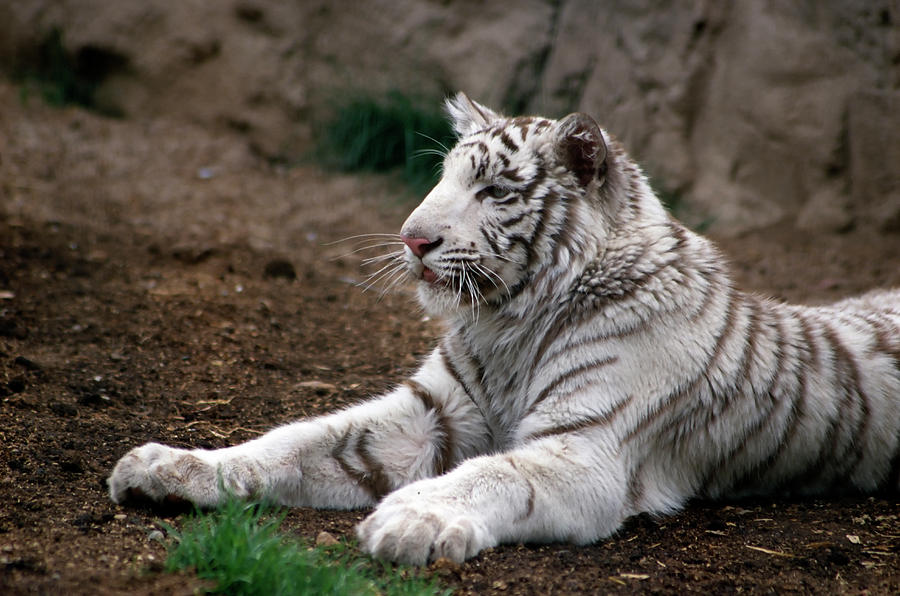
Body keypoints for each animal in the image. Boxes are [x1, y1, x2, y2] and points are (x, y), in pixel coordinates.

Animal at [107, 92, 900, 564]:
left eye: (491, 191)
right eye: (443, 178)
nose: (411, 239)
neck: (511, 321)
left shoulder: (583, 449)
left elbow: (491, 473)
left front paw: (410, 521)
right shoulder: (430, 412)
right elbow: (294, 441)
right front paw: (168, 467)